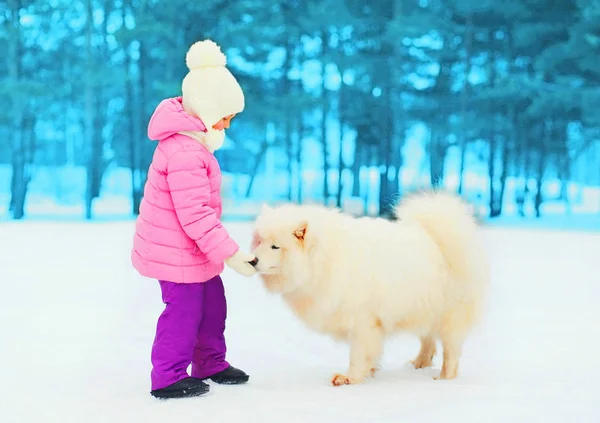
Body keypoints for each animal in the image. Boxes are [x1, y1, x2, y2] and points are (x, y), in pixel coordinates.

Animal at [251, 192, 490, 388]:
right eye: (259, 241)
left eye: (276, 246)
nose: (253, 260)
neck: (324, 257)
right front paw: (370, 371)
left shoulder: (363, 321)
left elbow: (358, 354)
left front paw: (349, 378)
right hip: (423, 309)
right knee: (428, 341)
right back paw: (419, 364)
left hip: (450, 315)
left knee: (451, 350)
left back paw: (444, 378)